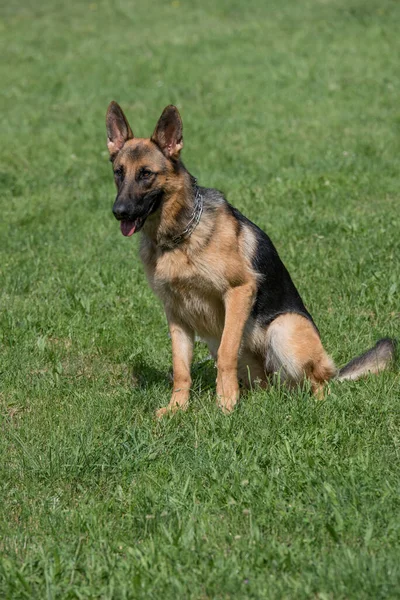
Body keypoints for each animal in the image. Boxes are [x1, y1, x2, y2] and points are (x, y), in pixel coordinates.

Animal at [104, 103, 396, 418]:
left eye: (146, 174)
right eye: (119, 173)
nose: (119, 211)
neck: (178, 238)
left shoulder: (238, 291)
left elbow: (226, 354)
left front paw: (225, 405)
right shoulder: (176, 314)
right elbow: (180, 367)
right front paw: (176, 409)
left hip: (284, 328)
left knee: (319, 383)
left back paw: (313, 405)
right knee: (264, 386)